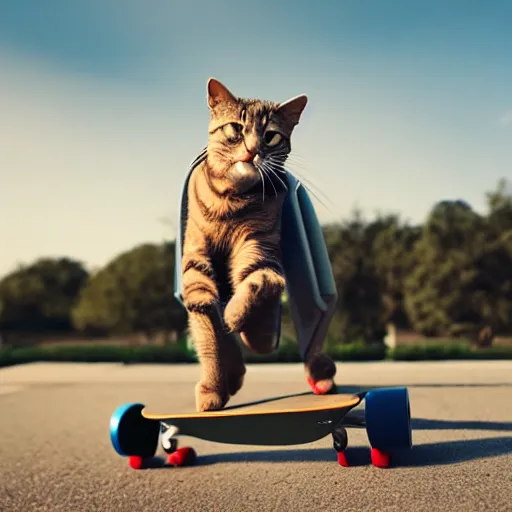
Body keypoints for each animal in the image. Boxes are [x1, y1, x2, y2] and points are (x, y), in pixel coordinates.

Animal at [180, 77, 336, 412]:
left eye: (270, 136)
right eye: (236, 129)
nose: (252, 151)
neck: (230, 199)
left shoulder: (259, 249)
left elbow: (266, 281)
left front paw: (239, 317)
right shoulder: (196, 270)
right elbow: (209, 336)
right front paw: (213, 389)